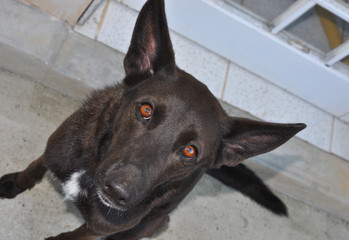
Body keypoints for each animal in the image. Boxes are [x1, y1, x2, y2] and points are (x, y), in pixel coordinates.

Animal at [0, 0, 304, 239]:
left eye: (189, 151)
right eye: (145, 110)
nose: (118, 191)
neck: (91, 168)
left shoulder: (98, 229)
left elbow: (73, 236)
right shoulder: (57, 149)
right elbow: (36, 165)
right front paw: (16, 182)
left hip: (153, 222)